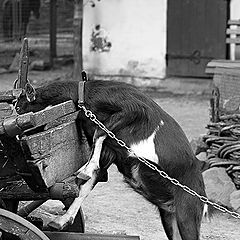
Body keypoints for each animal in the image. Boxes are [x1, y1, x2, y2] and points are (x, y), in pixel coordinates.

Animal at [15, 79, 206, 240]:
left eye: (18, 107)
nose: (14, 131)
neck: (86, 95)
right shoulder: (110, 151)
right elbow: (88, 183)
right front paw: (62, 220)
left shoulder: (131, 109)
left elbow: (100, 132)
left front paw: (85, 169)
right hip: (169, 216)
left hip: (187, 213)